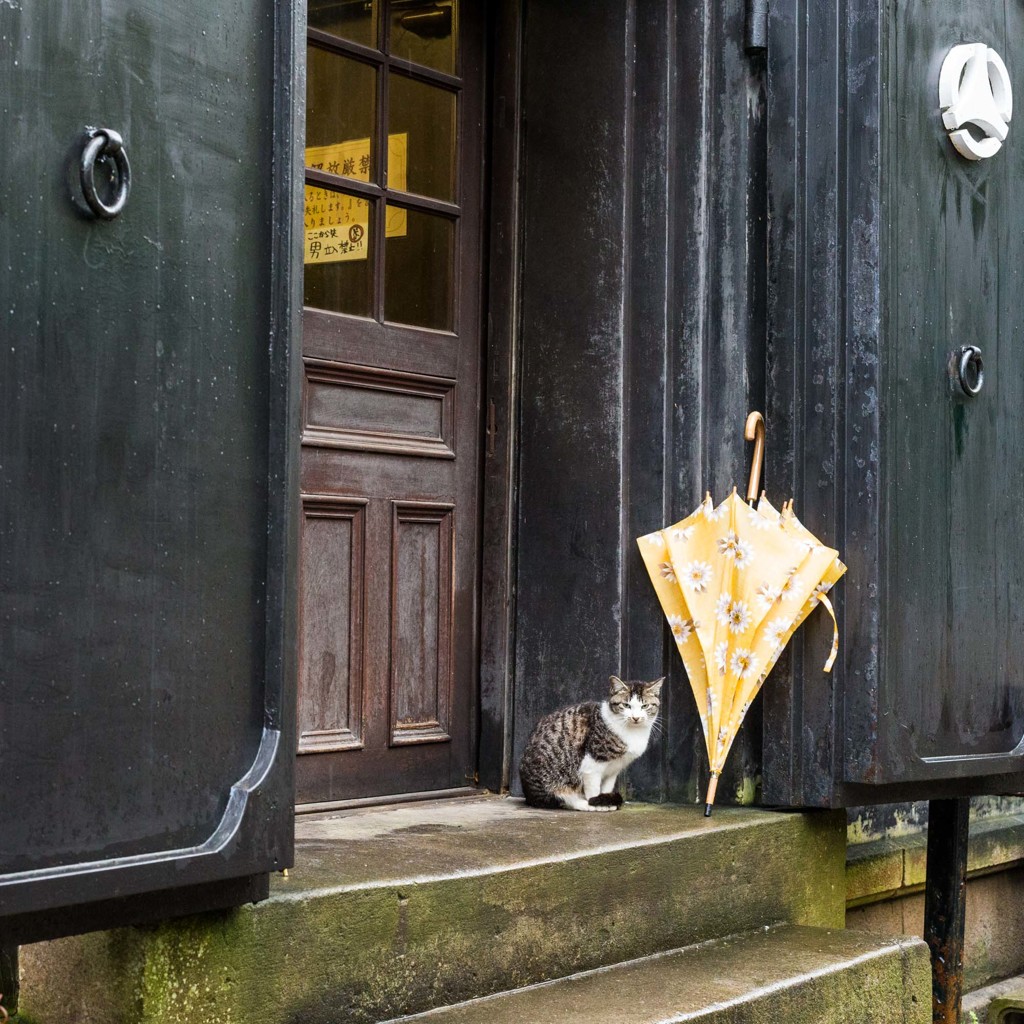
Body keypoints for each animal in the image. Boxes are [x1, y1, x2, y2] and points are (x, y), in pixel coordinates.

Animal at [520, 675, 663, 811]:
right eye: (626, 705)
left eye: (645, 706)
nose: (635, 717)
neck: (633, 732)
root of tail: (528, 794)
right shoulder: (592, 765)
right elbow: (593, 790)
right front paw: (596, 803)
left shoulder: (614, 769)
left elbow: (607, 787)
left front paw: (606, 801)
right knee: (561, 799)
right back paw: (583, 804)